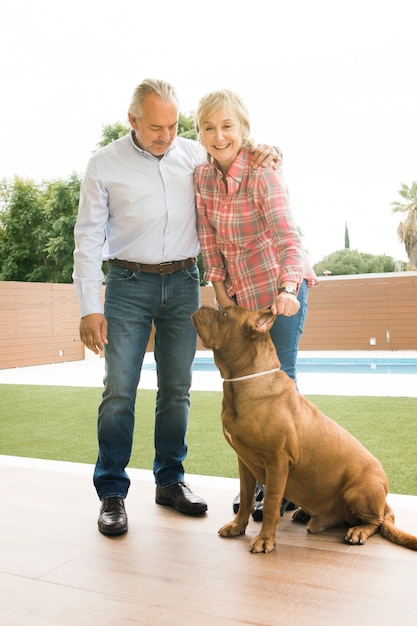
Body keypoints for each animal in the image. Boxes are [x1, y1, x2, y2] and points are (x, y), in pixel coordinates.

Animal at [191, 304, 416, 552]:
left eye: (223, 314)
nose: (203, 306)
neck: (244, 381)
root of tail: (384, 498)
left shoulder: (277, 462)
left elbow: (270, 503)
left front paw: (265, 539)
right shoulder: (244, 462)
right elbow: (247, 498)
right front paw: (237, 526)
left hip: (359, 489)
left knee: (377, 521)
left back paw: (358, 531)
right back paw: (305, 514)